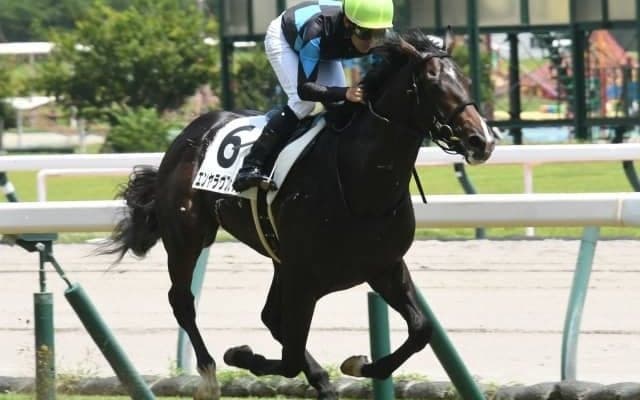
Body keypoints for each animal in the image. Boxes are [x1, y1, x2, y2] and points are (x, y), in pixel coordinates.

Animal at [103, 30, 495, 400]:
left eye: (465, 79)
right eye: (432, 81)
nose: (482, 141)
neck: (359, 182)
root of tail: (189, 133)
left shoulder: (383, 266)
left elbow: (420, 330)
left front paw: (358, 365)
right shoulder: (303, 278)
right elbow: (289, 358)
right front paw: (240, 355)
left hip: (278, 259)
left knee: (270, 318)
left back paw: (320, 381)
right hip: (187, 238)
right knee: (183, 302)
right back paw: (210, 374)